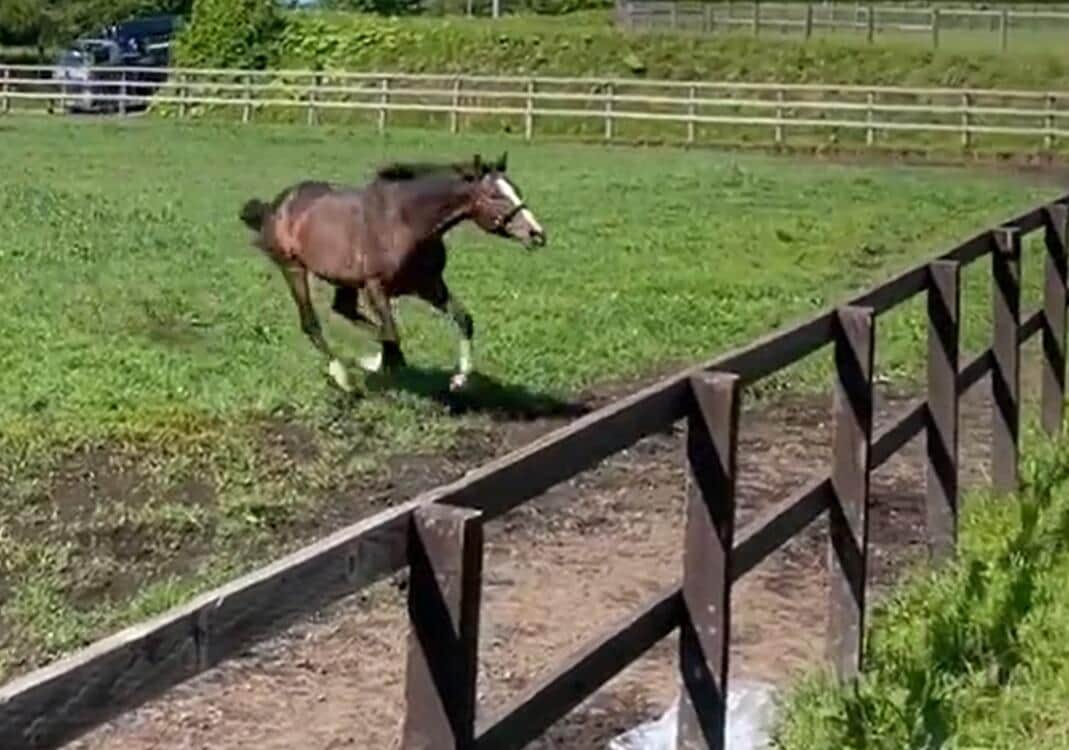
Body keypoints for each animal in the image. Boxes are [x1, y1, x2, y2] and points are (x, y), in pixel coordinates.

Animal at [238, 152, 546, 394]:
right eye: (495, 195)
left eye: (517, 190)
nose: (537, 235)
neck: (406, 224)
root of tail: (276, 205)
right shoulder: (376, 287)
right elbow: (392, 334)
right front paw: (374, 364)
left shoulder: (430, 285)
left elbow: (463, 320)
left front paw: (458, 380)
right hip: (293, 269)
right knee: (311, 323)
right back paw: (344, 377)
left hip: (344, 280)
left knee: (344, 309)